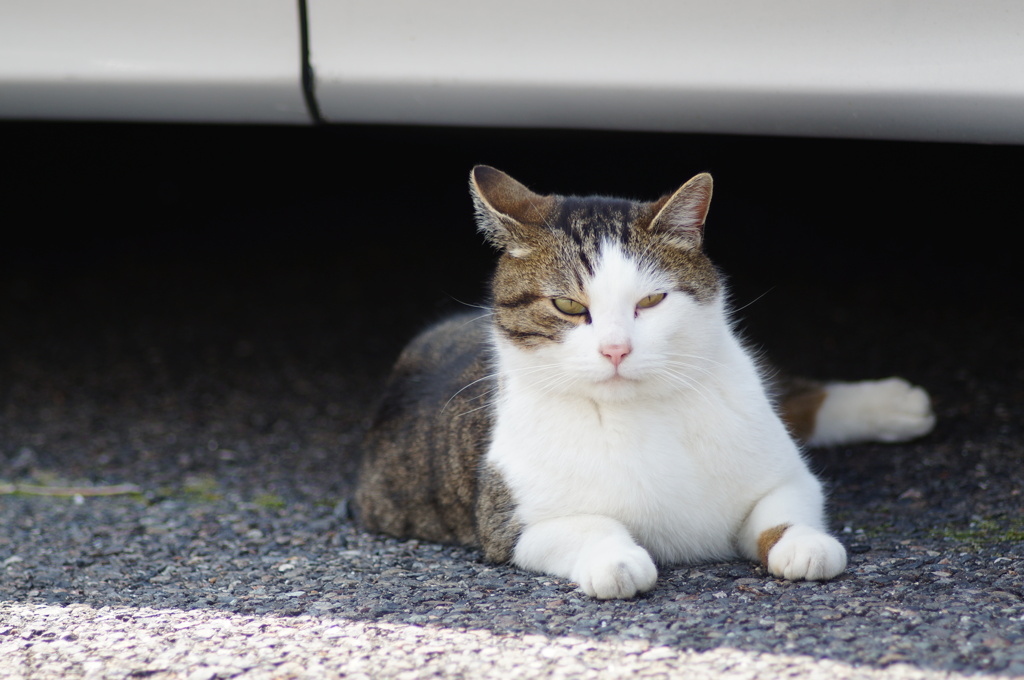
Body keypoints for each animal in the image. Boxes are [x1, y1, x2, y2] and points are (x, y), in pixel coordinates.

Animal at [356, 165, 937, 602]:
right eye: (568, 306)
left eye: (652, 301)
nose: (616, 349)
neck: (643, 409)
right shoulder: (511, 524)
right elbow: (588, 527)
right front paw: (617, 560)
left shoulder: (787, 477)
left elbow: (784, 510)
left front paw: (806, 544)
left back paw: (896, 403)